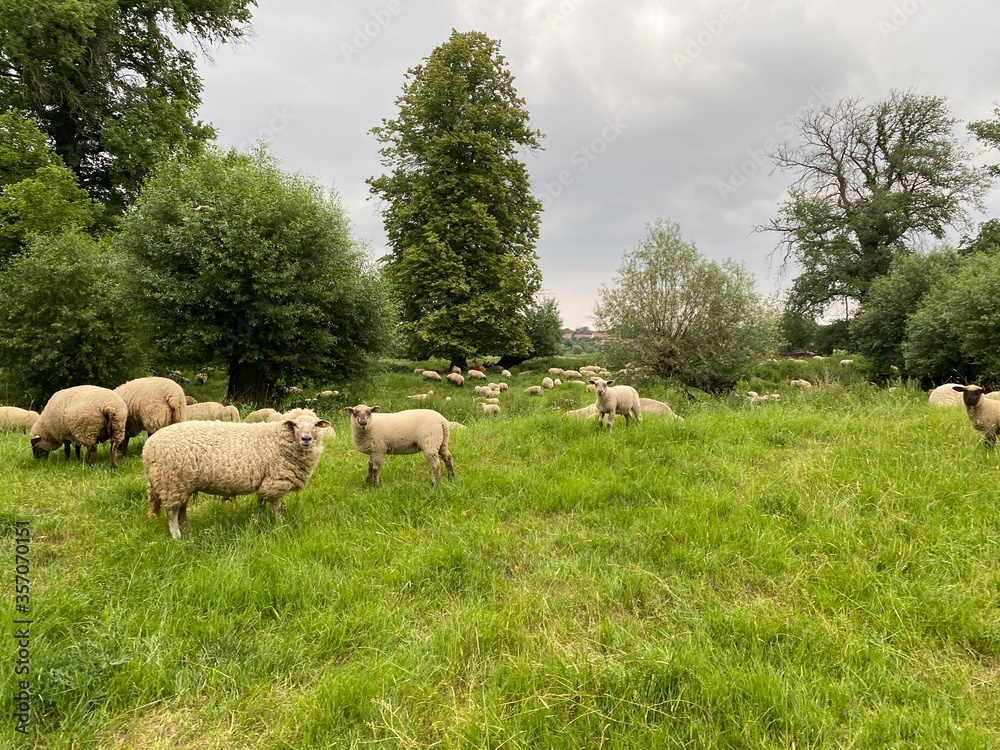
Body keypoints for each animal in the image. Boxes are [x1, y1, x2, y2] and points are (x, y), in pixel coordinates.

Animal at [142, 409, 331, 539]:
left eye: (315, 425)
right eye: (295, 425)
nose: (306, 439)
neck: (278, 439)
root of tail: (148, 446)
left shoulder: (268, 482)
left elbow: (263, 504)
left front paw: (257, 523)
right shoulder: (275, 480)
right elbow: (275, 507)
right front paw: (279, 525)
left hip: (184, 482)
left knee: (181, 509)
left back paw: (188, 530)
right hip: (172, 481)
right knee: (172, 512)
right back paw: (177, 536)